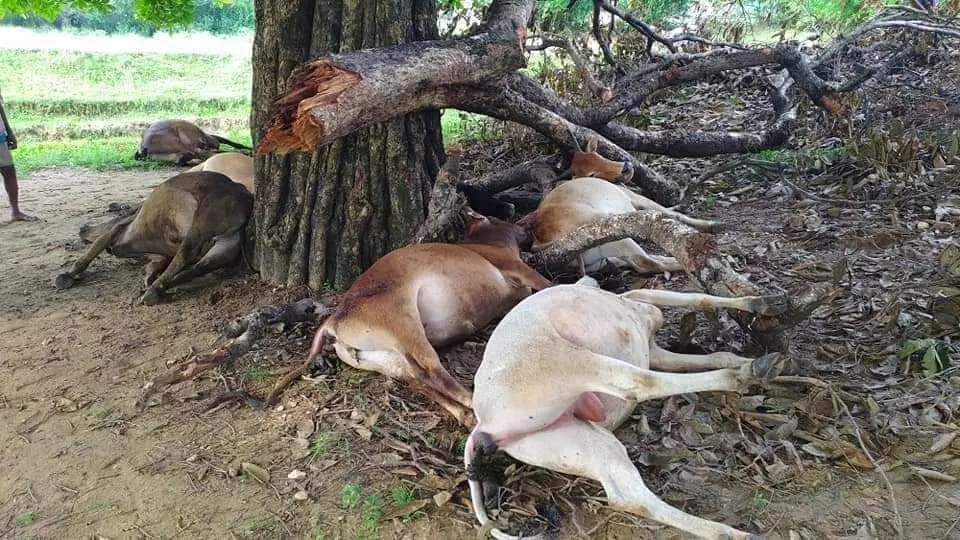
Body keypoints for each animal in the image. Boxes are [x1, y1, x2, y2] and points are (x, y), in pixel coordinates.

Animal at [464, 278, 788, 540]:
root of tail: (483, 426)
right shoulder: (638, 300)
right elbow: (697, 297)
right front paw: (762, 308)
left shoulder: (654, 348)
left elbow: (710, 348)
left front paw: (762, 313)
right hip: (560, 358)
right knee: (639, 383)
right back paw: (749, 372)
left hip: (564, 439)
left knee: (626, 493)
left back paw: (735, 534)